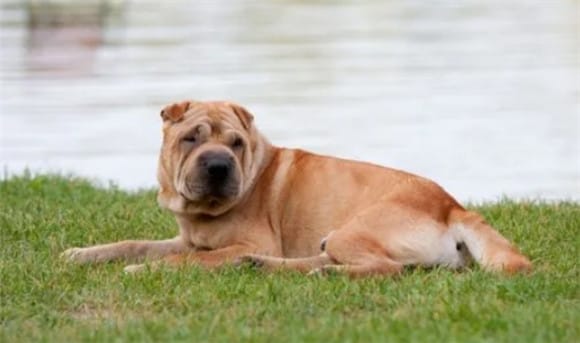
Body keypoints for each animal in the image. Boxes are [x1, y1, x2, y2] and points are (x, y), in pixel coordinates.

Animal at [61, 99, 532, 276]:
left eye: (235, 143)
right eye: (191, 138)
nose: (218, 164)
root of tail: (452, 206)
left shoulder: (233, 244)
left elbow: (188, 261)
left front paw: (146, 270)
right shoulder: (186, 238)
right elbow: (132, 243)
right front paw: (81, 254)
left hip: (352, 230)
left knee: (387, 269)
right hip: (335, 237)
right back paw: (264, 266)